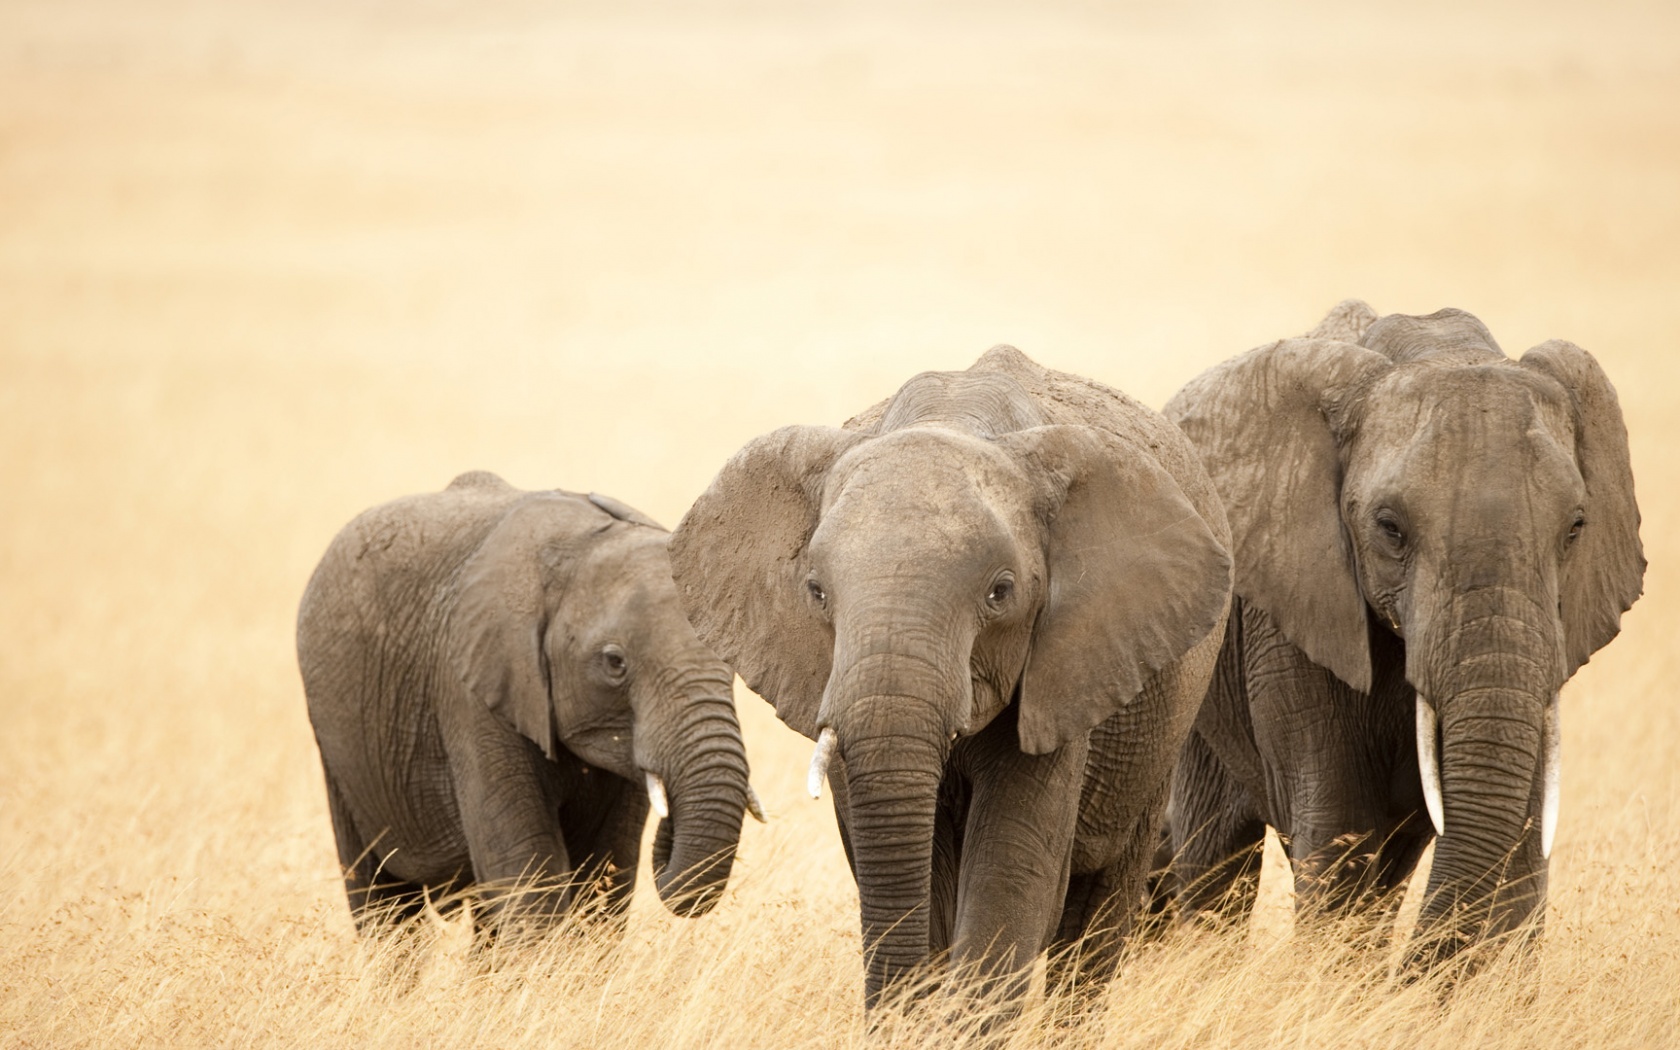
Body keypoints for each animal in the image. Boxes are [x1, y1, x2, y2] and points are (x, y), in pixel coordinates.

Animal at [297, 470, 762, 927]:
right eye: (615, 663)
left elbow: (605, 871)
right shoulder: (472, 689)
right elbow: (527, 870)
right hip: (338, 749)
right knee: (384, 902)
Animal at [1162, 297, 1646, 967]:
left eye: (1576, 527)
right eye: (1389, 528)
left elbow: (1520, 823)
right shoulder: (1291, 618)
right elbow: (1340, 826)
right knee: (1214, 855)